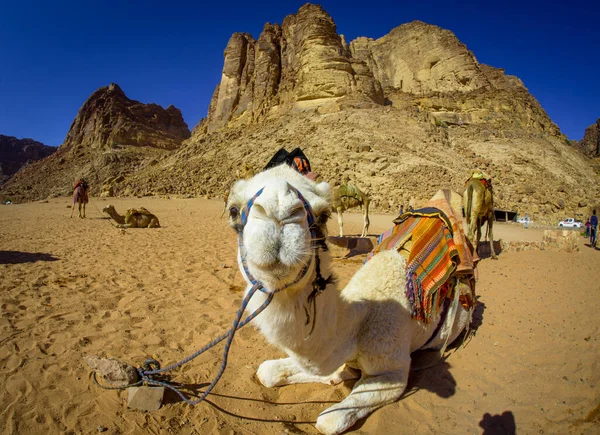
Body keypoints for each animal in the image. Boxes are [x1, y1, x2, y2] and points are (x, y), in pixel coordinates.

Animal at [225, 165, 474, 434]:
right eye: (233, 210)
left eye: (324, 215)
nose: (279, 211)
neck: (359, 324)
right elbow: (268, 371)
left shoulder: (394, 372)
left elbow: (328, 421)